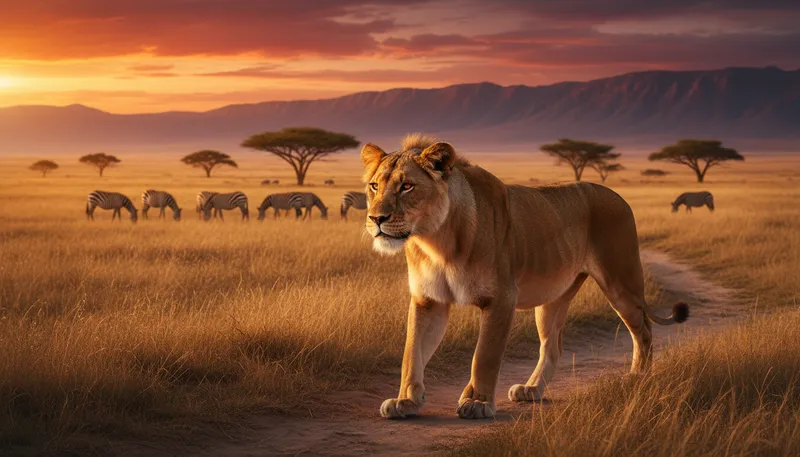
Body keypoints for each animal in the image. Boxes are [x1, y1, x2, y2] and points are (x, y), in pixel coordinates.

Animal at [361, 134, 689, 420]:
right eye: (374, 186)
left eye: (407, 186)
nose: (376, 218)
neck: (436, 241)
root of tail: (618, 196)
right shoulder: (428, 301)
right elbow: (411, 352)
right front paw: (406, 401)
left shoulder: (501, 299)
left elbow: (485, 356)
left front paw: (478, 402)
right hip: (552, 300)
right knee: (553, 347)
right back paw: (532, 390)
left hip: (621, 282)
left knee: (643, 330)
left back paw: (637, 377)